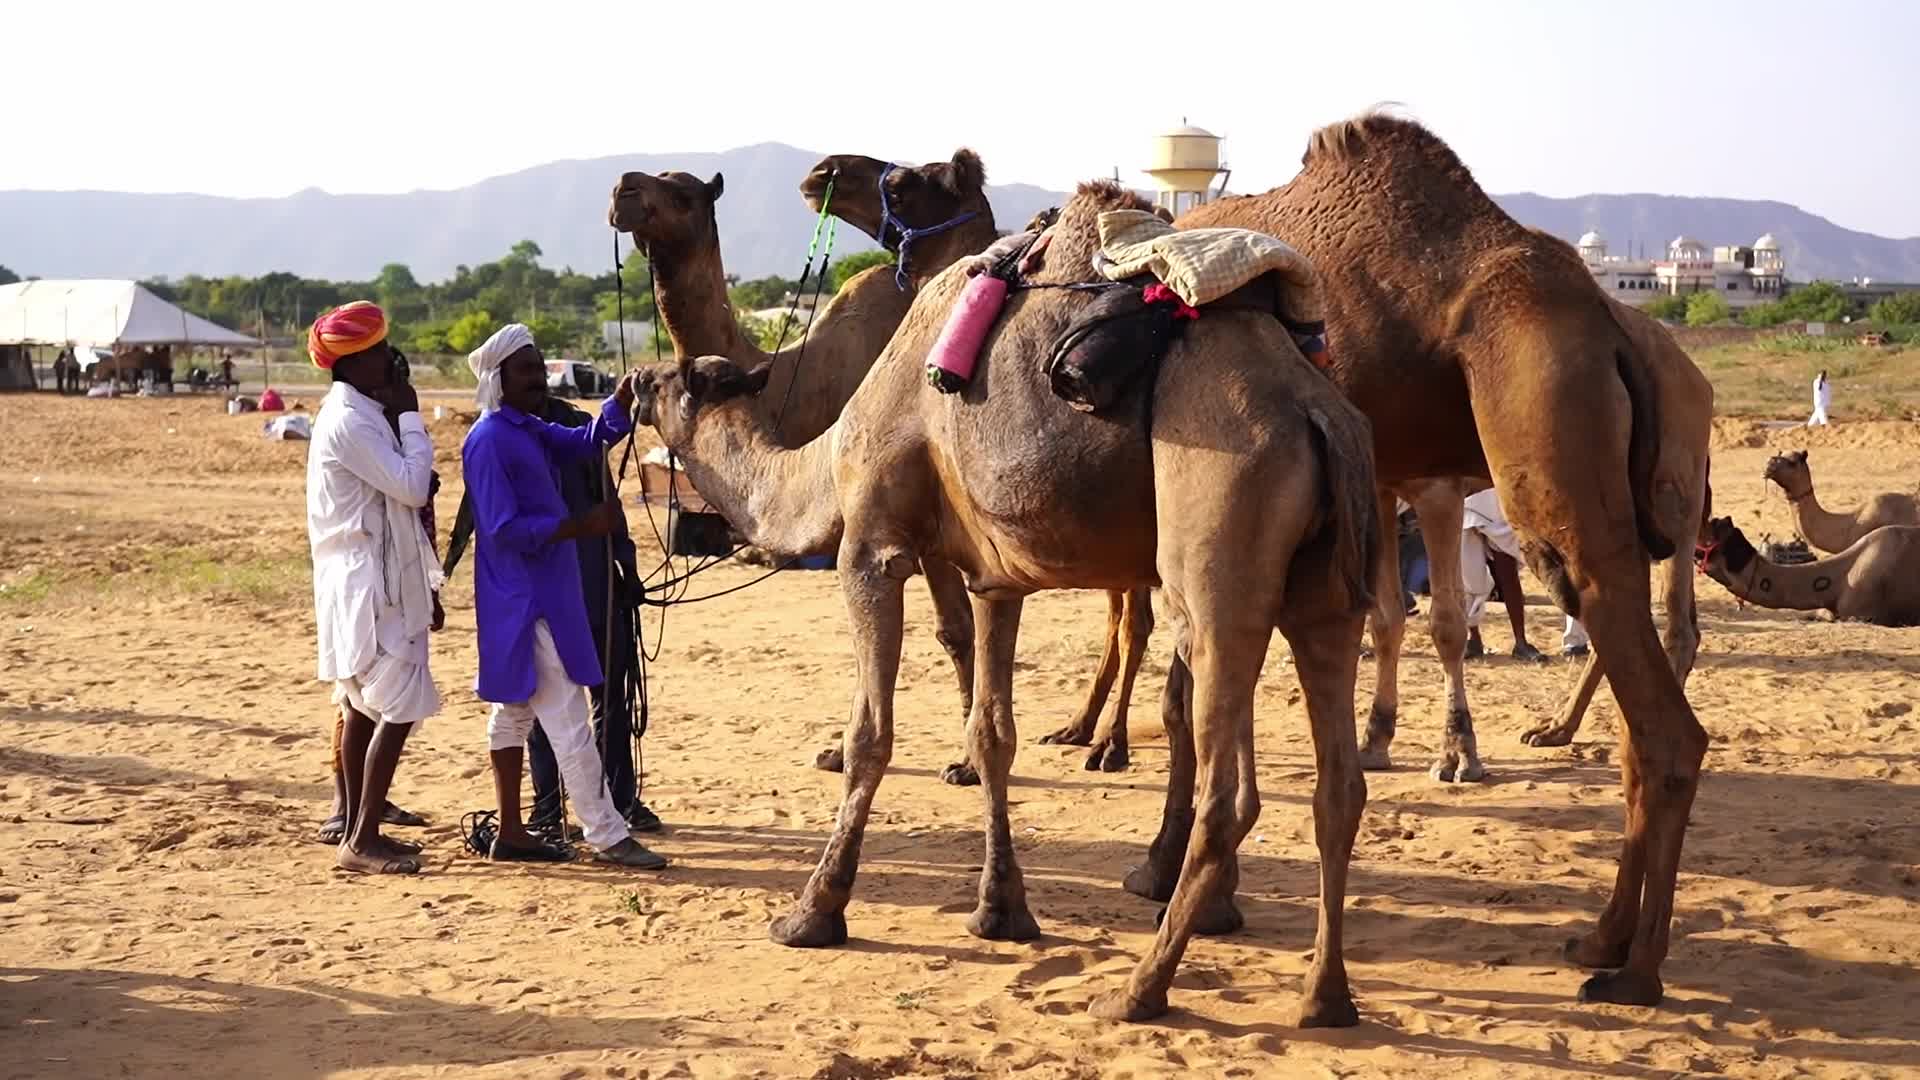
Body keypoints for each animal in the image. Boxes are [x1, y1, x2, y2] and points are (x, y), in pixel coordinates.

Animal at [625, 180, 1382, 1025]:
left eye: (673, 379)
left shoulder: (873, 546)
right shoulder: (995, 576)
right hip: (1326, 589)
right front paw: (1002, 911)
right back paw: (1325, 998)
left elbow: (871, 736)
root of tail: (1315, 411)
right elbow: (992, 735)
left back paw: (1138, 989)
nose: (629, 385)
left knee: (1231, 788)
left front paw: (813, 911)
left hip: (1221, 540)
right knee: (1339, 783)